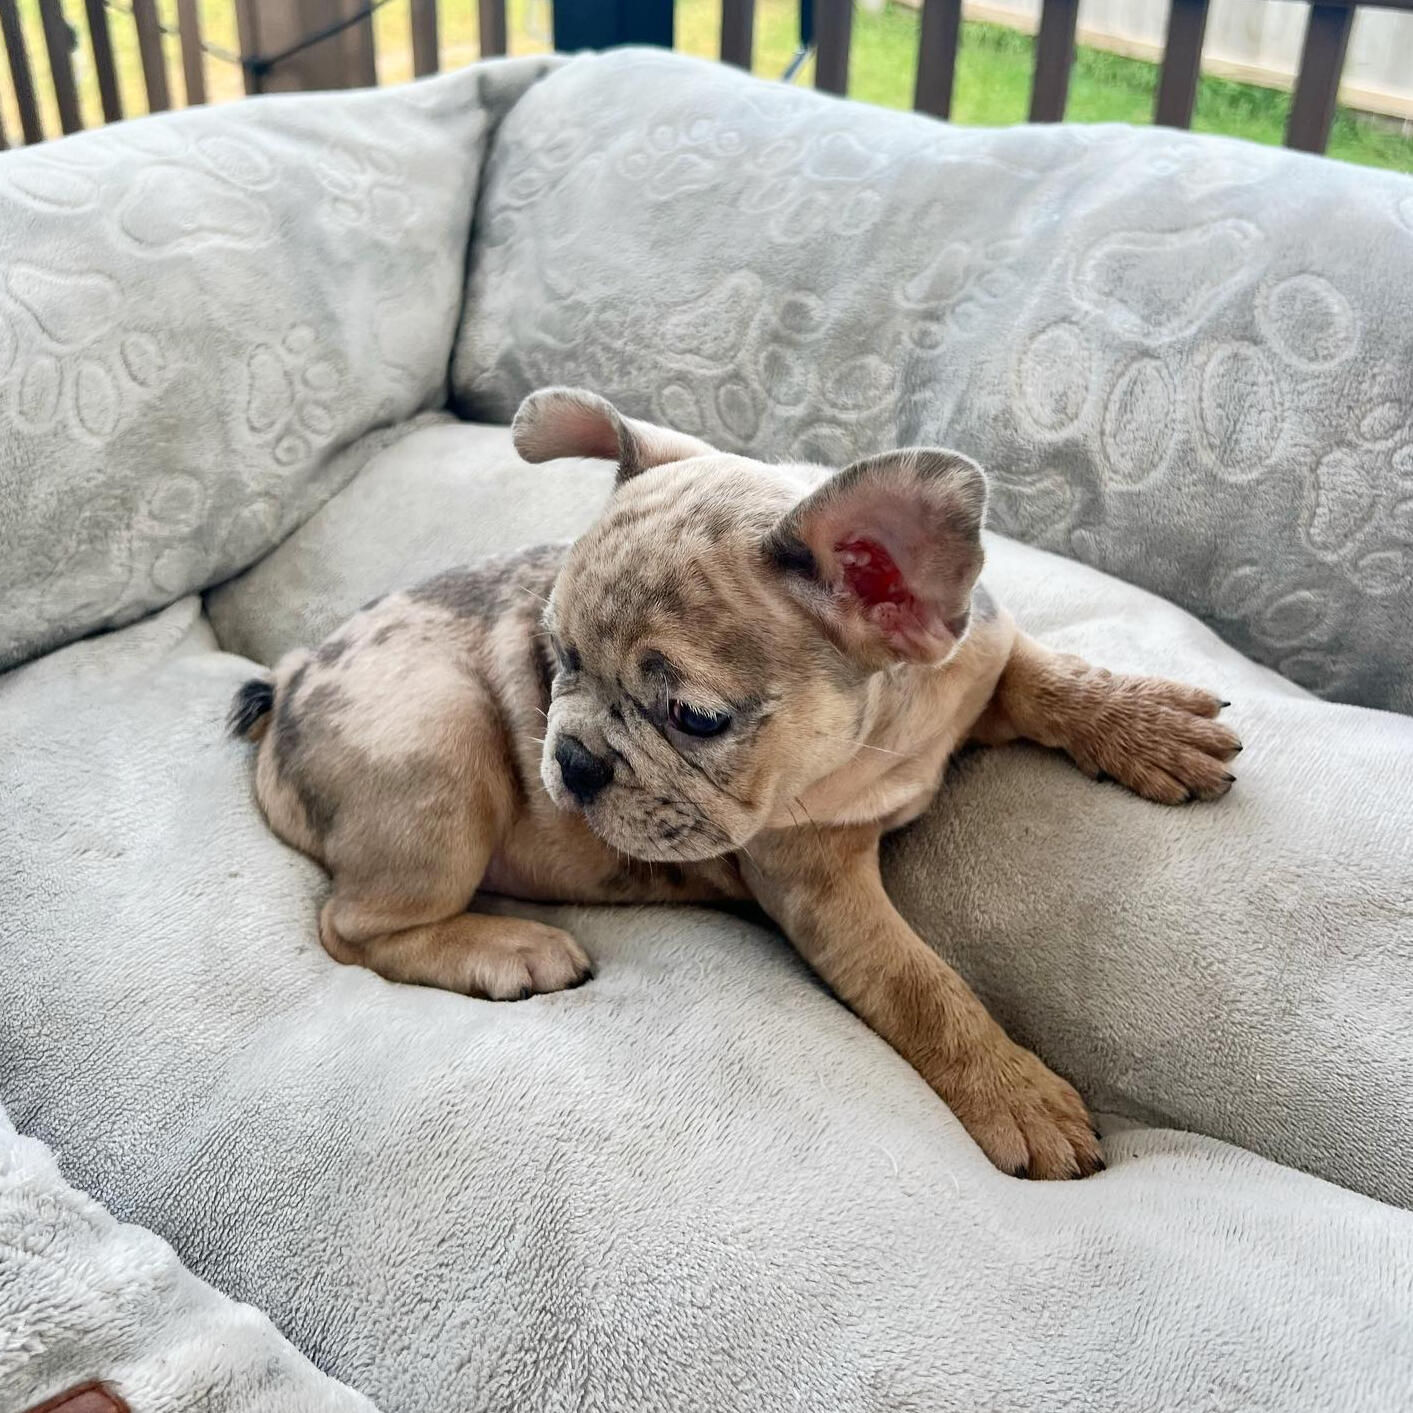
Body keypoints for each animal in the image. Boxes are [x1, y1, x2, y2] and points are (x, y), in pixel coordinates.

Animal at [231, 389, 1237, 1181]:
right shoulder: (817, 884)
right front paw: (1014, 1091)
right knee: (352, 927)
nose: (571, 759)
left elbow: (1046, 674)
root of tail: (289, 676)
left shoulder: (979, 659)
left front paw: (1144, 723)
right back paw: (506, 946)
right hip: (440, 742)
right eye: (555, 660)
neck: (885, 742)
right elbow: (921, 983)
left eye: (693, 717)